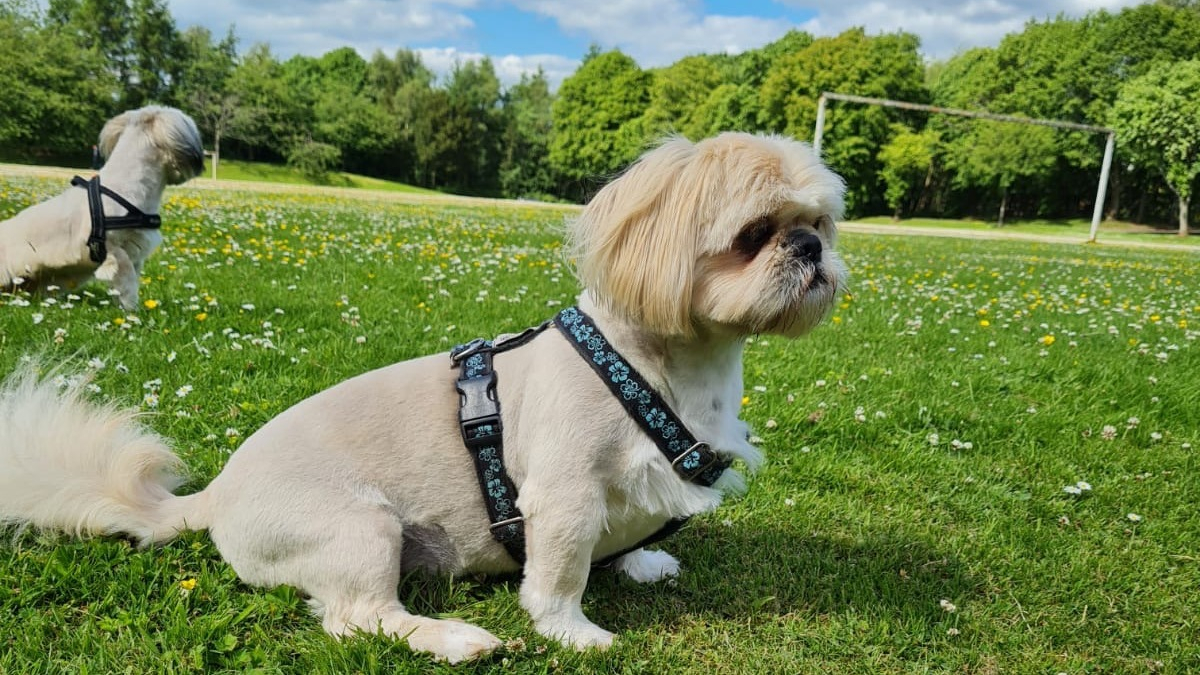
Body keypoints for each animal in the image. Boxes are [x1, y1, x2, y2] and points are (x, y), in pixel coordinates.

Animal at [0, 132, 844, 662]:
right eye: (755, 233)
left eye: (823, 224)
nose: (810, 248)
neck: (662, 366)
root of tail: (213, 497)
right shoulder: (563, 496)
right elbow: (560, 576)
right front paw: (574, 630)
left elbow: (622, 538)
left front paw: (639, 561)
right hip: (362, 527)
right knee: (357, 618)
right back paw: (454, 638)